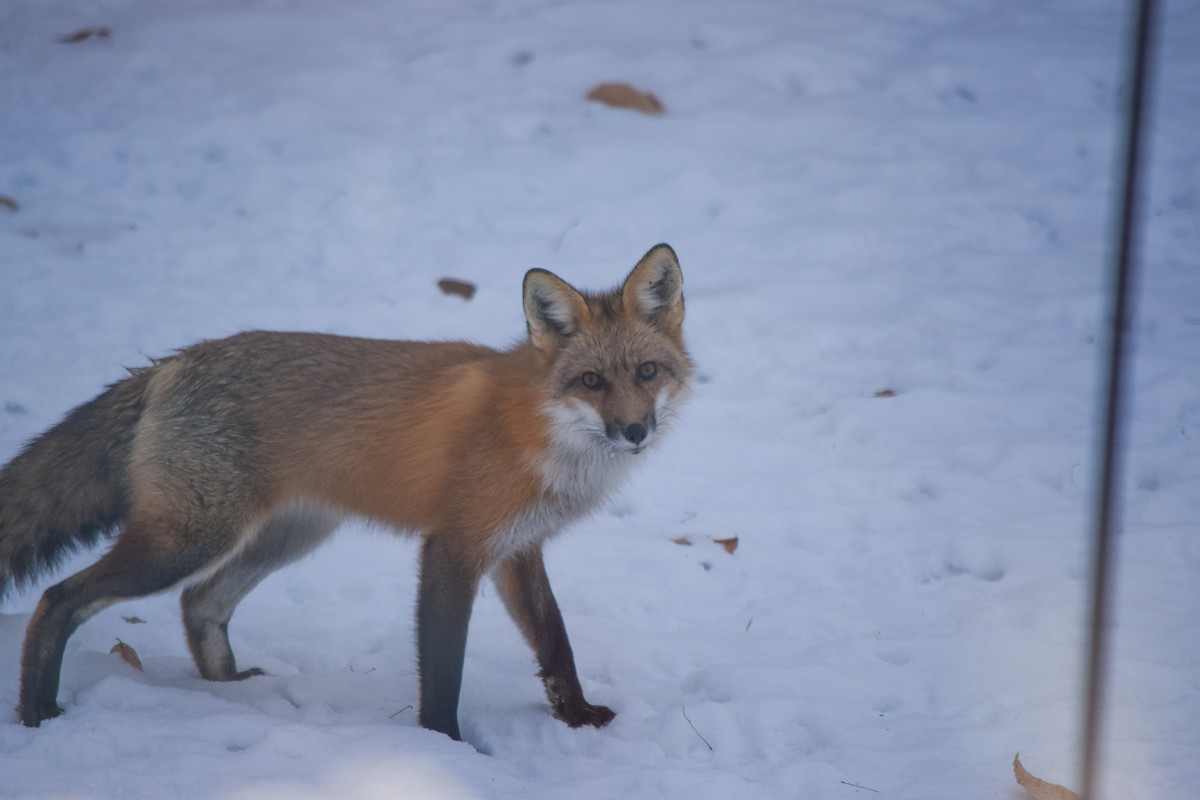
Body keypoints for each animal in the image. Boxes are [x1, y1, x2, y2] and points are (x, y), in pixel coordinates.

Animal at [0, 244, 691, 741]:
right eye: (592, 381)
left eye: (646, 372)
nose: (635, 431)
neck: (543, 433)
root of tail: (171, 362)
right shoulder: (454, 548)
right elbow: (444, 670)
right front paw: (448, 748)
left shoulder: (517, 550)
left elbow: (556, 644)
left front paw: (577, 720)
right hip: (187, 540)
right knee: (61, 599)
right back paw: (38, 715)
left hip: (286, 536)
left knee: (200, 601)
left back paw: (229, 691)